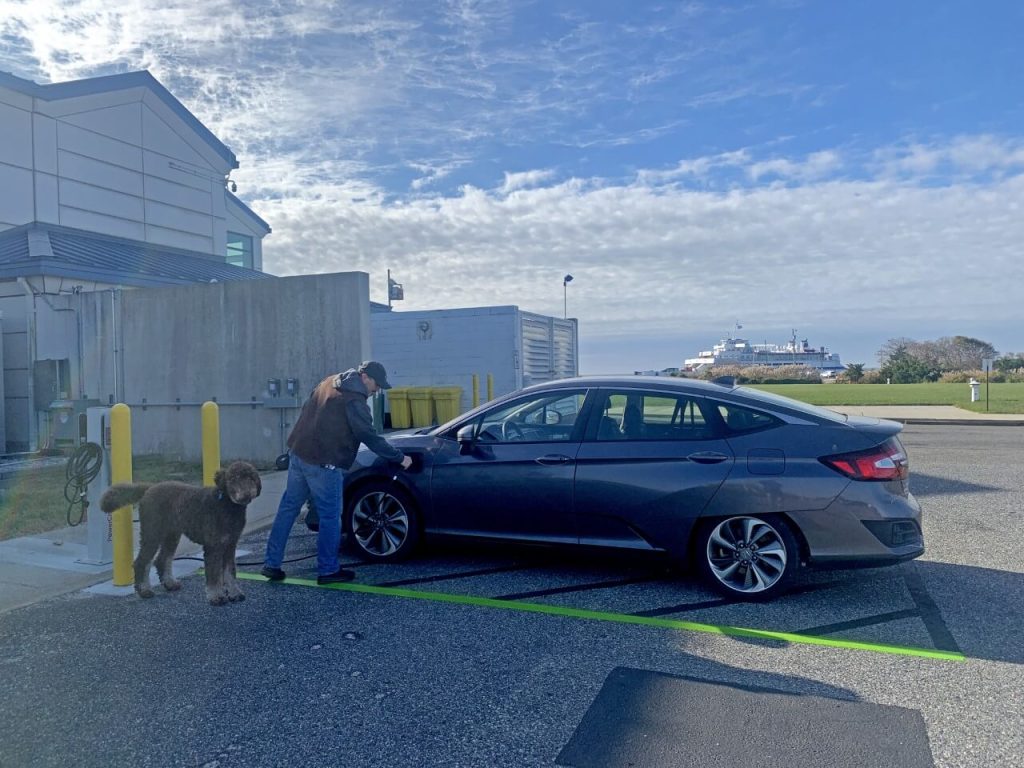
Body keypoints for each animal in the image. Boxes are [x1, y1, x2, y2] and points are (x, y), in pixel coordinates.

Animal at [99, 462, 262, 606]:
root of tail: (150, 488)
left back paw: (170, 584)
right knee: (142, 562)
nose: (246, 494)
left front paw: (235, 593)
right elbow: (214, 575)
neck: (227, 505)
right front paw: (216, 597)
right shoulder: (213, 547)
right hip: (152, 532)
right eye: (232, 479)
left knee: (162, 559)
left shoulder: (230, 546)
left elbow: (230, 572)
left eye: (251, 478)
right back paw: (144, 590)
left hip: (171, 535)